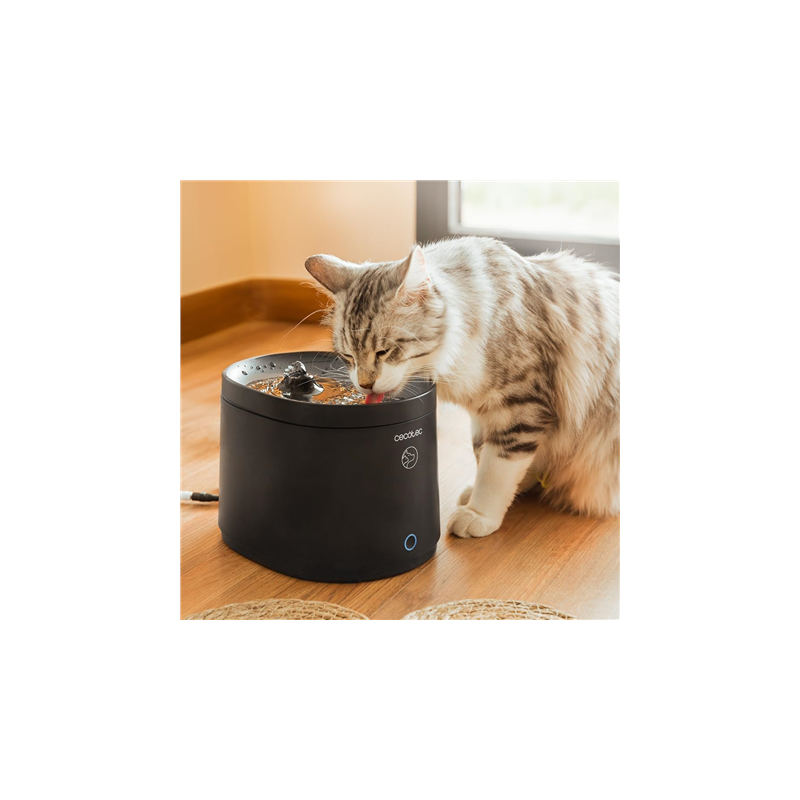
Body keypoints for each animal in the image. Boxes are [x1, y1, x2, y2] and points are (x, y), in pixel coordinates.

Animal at [305, 236, 619, 538]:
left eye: (385, 352)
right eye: (348, 357)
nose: (365, 384)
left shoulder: (520, 408)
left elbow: (497, 469)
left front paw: (479, 514)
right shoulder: (484, 415)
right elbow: (488, 456)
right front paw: (491, 495)